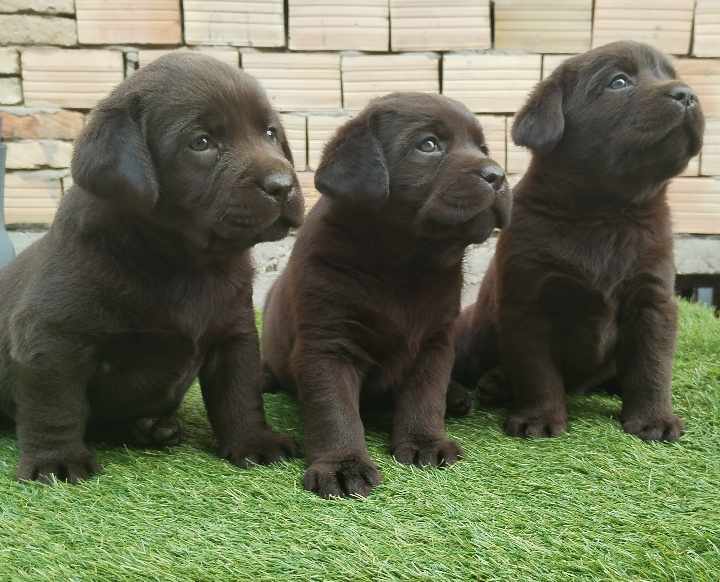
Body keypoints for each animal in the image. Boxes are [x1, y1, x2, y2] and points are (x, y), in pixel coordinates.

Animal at [262, 93, 510, 500]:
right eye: (429, 145)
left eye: (483, 148)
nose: (498, 175)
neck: (404, 265)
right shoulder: (328, 344)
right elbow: (335, 410)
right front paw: (343, 466)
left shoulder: (436, 340)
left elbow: (425, 395)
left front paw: (425, 442)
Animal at [452, 42, 704, 442]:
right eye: (619, 81)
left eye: (670, 75)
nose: (687, 95)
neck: (605, 212)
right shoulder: (529, 302)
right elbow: (537, 371)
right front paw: (539, 418)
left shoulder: (653, 299)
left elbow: (652, 365)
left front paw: (654, 419)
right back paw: (491, 385)